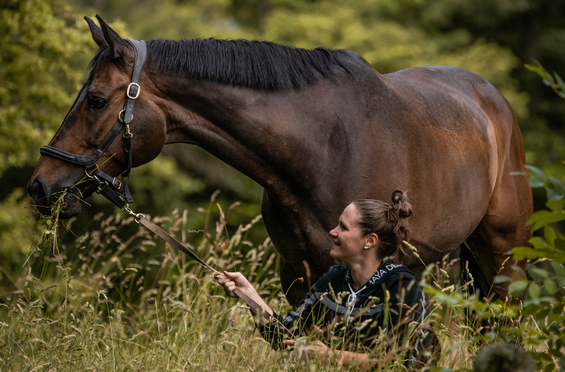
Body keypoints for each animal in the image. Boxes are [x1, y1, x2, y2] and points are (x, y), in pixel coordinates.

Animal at [28, 16, 532, 304]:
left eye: (95, 100)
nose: (39, 185)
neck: (323, 148)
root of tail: (496, 102)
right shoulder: (298, 275)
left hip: (505, 255)